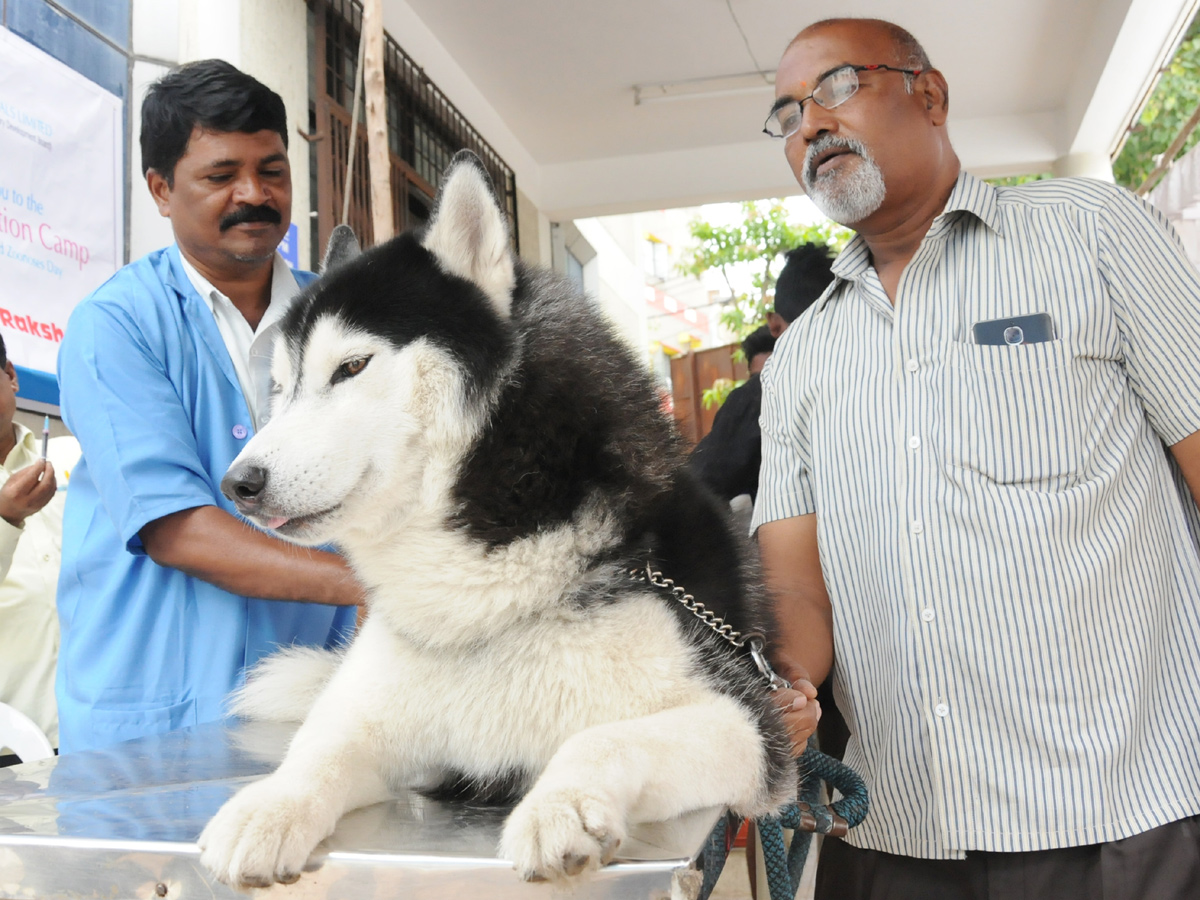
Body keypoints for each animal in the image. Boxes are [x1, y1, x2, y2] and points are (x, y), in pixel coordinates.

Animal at [196, 151, 796, 892]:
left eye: (353, 366)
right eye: (280, 388)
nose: (239, 484)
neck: (484, 593)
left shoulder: (746, 722)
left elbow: (604, 736)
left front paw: (562, 804)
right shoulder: (378, 720)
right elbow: (318, 750)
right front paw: (268, 805)